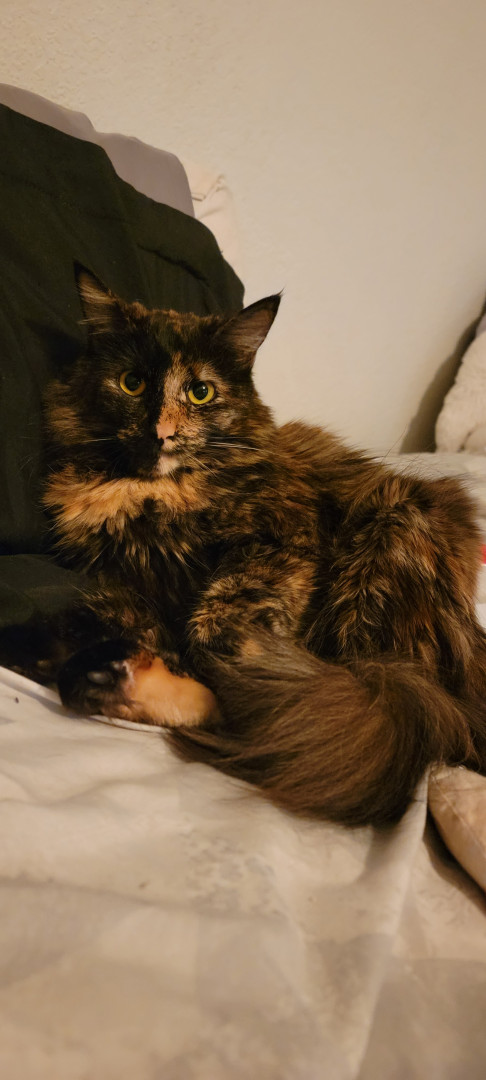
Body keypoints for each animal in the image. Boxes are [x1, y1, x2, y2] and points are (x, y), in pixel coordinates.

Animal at [2, 264, 486, 828]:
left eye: (201, 392)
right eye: (132, 383)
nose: (163, 432)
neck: (154, 491)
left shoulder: (283, 546)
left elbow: (214, 634)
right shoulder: (130, 577)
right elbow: (134, 621)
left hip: (383, 550)